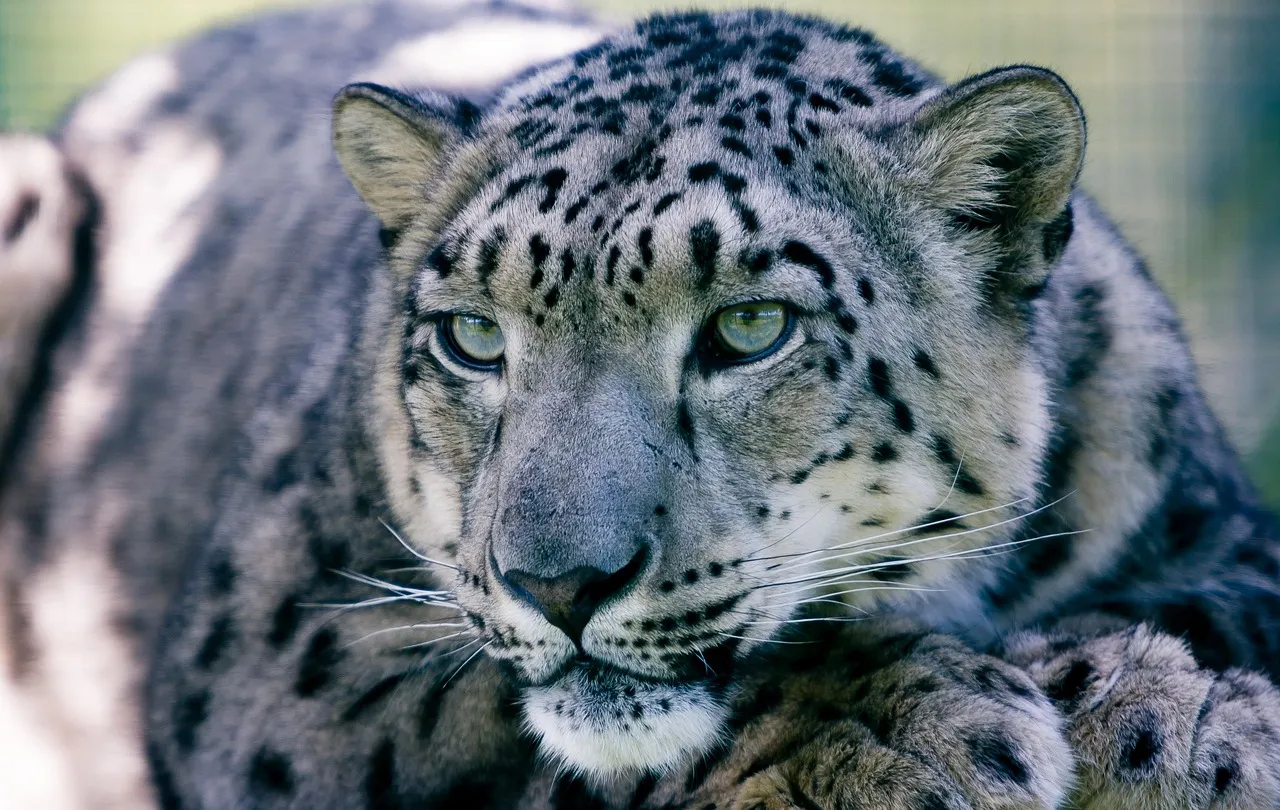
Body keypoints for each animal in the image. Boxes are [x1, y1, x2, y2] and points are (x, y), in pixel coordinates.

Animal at [2, 2, 1279, 809]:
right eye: (472, 337)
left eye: (750, 328)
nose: (559, 583)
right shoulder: (277, 659)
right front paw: (891, 726)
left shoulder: (1216, 524)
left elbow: (1211, 605)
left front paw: (1172, 710)